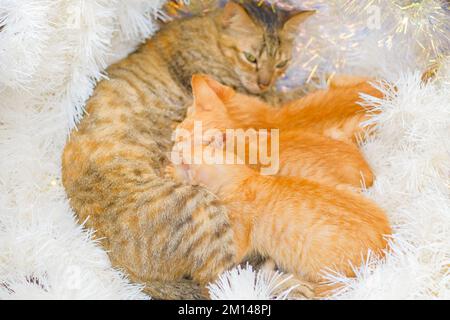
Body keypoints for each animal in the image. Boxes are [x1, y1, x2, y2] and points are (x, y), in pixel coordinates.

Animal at [61, 0, 314, 300]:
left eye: (281, 63)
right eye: (251, 57)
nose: (264, 81)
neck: (205, 32)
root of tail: (120, 268)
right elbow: (286, 100)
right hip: (200, 208)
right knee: (226, 279)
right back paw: (292, 284)